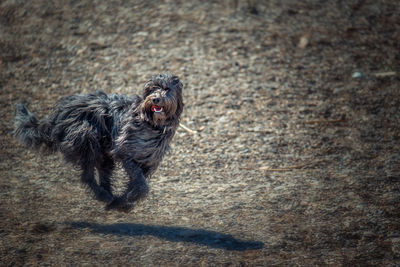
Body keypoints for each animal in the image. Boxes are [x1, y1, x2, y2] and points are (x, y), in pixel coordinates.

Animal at [13, 74, 184, 214]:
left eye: (166, 89)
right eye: (152, 89)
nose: (155, 99)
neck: (151, 123)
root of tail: (58, 113)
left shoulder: (147, 163)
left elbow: (137, 185)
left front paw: (123, 202)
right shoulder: (125, 152)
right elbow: (141, 186)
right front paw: (123, 201)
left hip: (103, 152)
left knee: (103, 175)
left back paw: (109, 196)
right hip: (86, 138)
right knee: (87, 176)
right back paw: (104, 196)